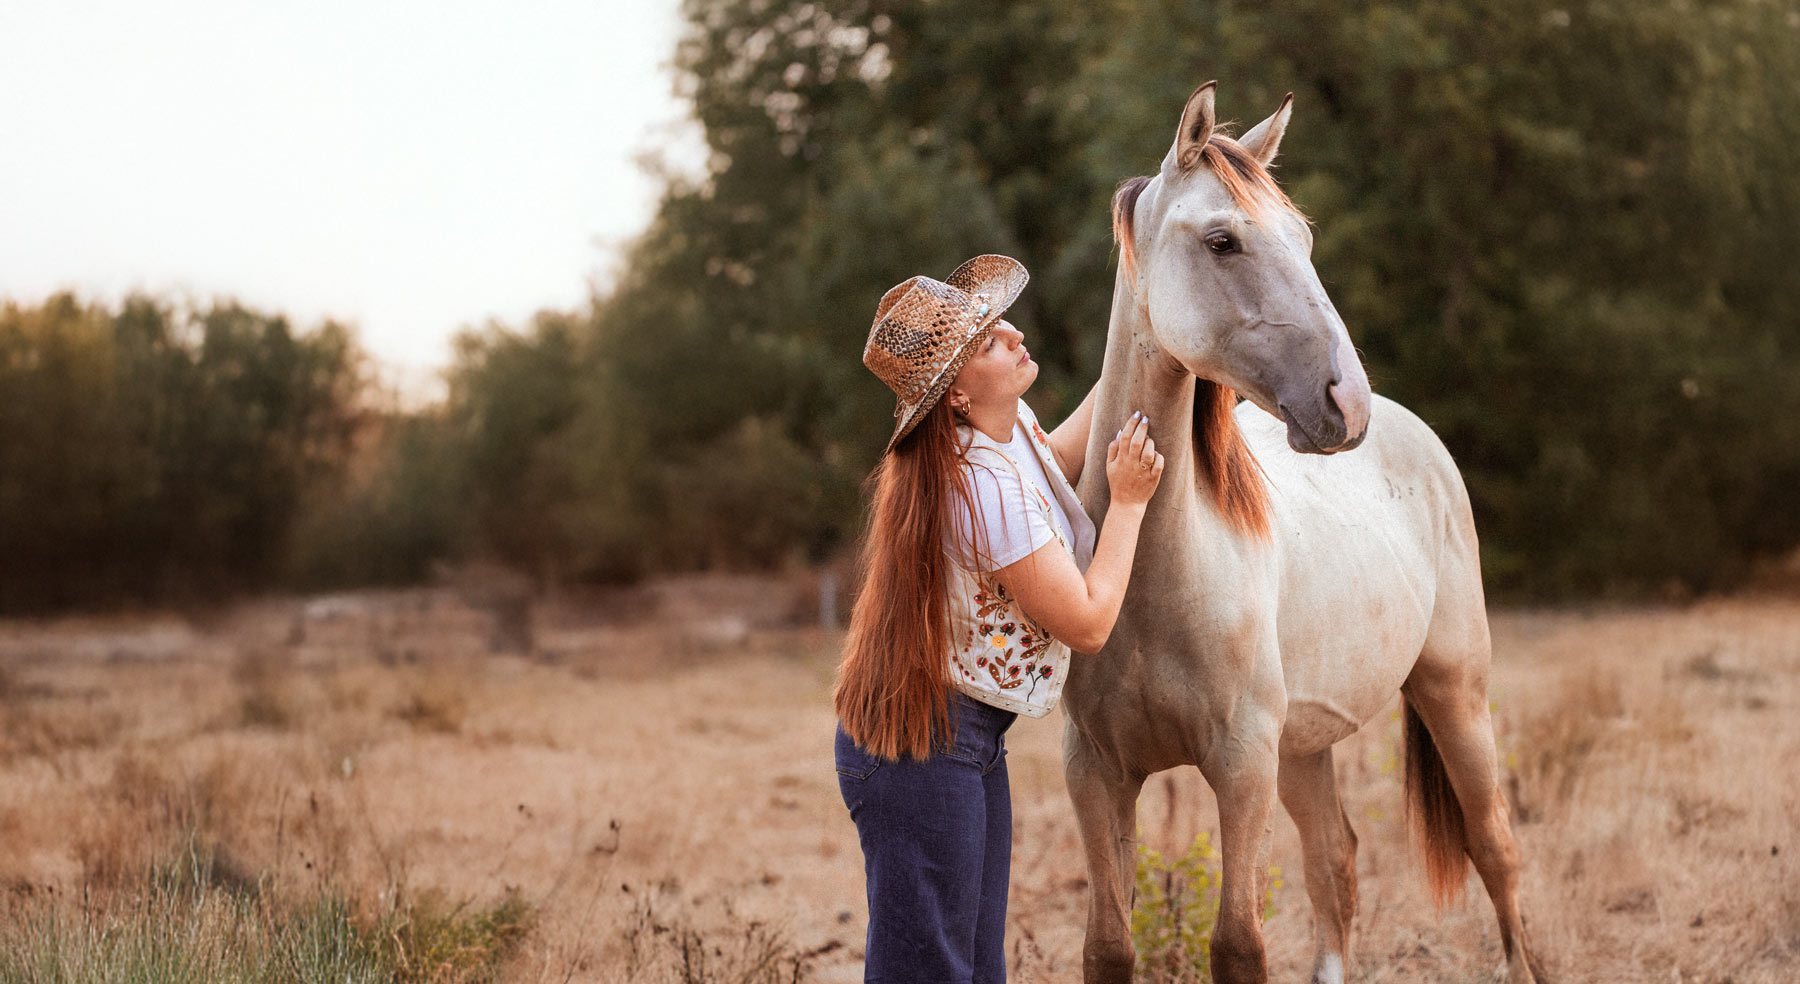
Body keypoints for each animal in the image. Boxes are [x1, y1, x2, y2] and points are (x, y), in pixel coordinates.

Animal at [1065, 82, 1543, 984]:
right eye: (1223, 240)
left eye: (1305, 238)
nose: (1345, 402)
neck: (1156, 579)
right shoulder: (1098, 774)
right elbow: (1109, 946)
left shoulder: (1241, 767)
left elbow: (1238, 944)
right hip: (1305, 749)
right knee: (1335, 865)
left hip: (1454, 692)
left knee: (1494, 849)